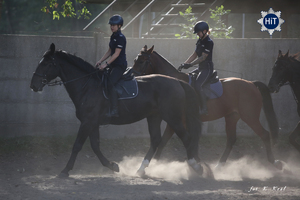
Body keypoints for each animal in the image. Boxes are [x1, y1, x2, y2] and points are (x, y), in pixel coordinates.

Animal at [29, 43, 214, 178]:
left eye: (47, 63)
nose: (33, 85)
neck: (88, 85)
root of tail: (178, 82)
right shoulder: (92, 122)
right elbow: (95, 146)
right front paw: (113, 166)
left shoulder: (88, 122)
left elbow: (78, 145)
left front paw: (65, 171)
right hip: (154, 117)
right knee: (156, 140)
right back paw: (141, 169)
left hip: (173, 117)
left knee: (186, 138)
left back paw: (196, 167)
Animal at [132, 44, 284, 170]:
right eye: (135, 60)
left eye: (141, 61)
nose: (131, 76)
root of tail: (251, 83)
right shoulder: (176, 121)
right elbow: (175, 142)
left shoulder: (176, 121)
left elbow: (166, 141)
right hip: (232, 117)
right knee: (231, 139)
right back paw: (219, 165)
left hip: (250, 116)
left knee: (265, 134)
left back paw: (275, 162)